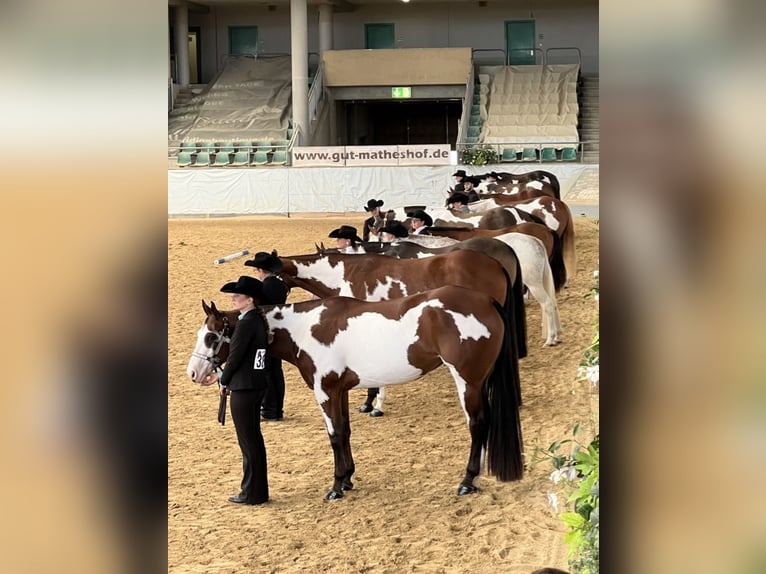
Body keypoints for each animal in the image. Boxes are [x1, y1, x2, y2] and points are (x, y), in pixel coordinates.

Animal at [190, 290, 528, 502]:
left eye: (211, 336)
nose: (194, 373)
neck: (306, 329)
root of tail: (485, 300)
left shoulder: (325, 391)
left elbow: (335, 436)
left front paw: (336, 487)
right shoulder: (339, 391)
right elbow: (347, 432)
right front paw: (349, 479)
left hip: (468, 381)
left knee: (478, 425)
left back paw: (467, 482)